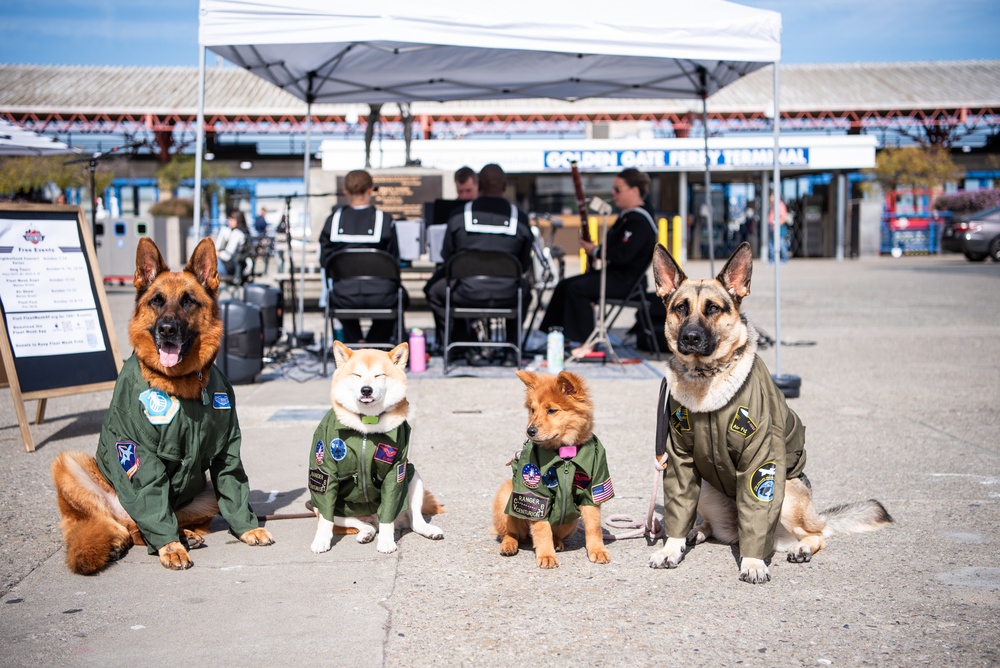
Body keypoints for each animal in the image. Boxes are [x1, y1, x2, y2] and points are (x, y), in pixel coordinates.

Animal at [51, 237, 274, 572]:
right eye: (156, 301)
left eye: (188, 301)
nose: (166, 329)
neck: (182, 384)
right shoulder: (137, 452)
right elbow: (151, 502)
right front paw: (170, 547)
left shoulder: (226, 450)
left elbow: (233, 486)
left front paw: (248, 528)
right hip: (69, 464)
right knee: (127, 525)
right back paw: (130, 539)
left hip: (205, 492)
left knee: (163, 521)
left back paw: (187, 533)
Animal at [308, 342, 442, 556]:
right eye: (357, 375)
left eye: (379, 375)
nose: (366, 390)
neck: (366, 423)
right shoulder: (324, 470)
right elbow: (325, 518)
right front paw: (321, 540)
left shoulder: (396, 471)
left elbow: (389, 509)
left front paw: (386, 541)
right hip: (324, 507)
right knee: (362, 524)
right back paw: (366, 533)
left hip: (413, 475)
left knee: (414, 521)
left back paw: (427, 530)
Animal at [490, 370, 612, 568]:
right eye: (533, 410)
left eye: (552, 410)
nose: (530, 431)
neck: (564, 455)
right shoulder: (536, 496)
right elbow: (542, 529)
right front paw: (546, 555)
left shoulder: (593, 490)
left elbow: (593, 526)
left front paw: (598, 550)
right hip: (506, 495)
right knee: (510, 532)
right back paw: (509, 544)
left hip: (571, 521)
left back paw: (557, 543)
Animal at [644, 243, 896, 580]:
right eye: (681, 308)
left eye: (713, 309)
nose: (690, 338)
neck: (706, 378)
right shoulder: (680, 463)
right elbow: (677, 509)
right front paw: (671, 548)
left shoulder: (761, 457)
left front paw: (752, 563)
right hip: (707, 490)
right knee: (712, 525)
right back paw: (695, 532)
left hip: (786, 493)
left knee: (818, 533)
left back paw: (801, 548)